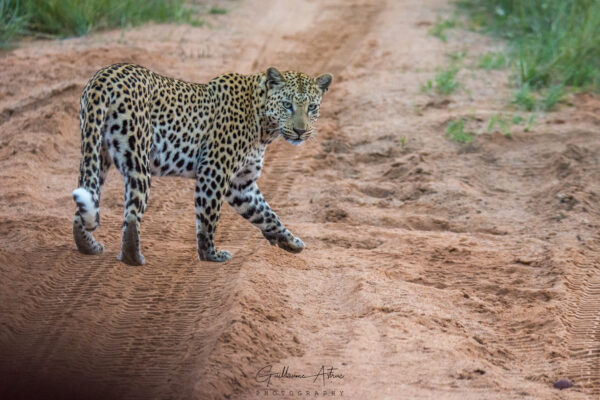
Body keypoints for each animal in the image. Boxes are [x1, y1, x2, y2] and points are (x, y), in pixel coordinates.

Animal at [72, 63, 332, 266]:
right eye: (288, 105)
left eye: (312, 107)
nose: (300, 131)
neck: (264, 126)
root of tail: (103, 77)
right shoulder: (214, 170)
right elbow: (209, 216)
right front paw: (210, 254)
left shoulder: (242, 185)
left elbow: (266, 213)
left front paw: (290, 241)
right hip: (137, 158)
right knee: (132, 213)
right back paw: (133, 258)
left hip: (96, 152)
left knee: (85, 199)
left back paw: (88, 246)